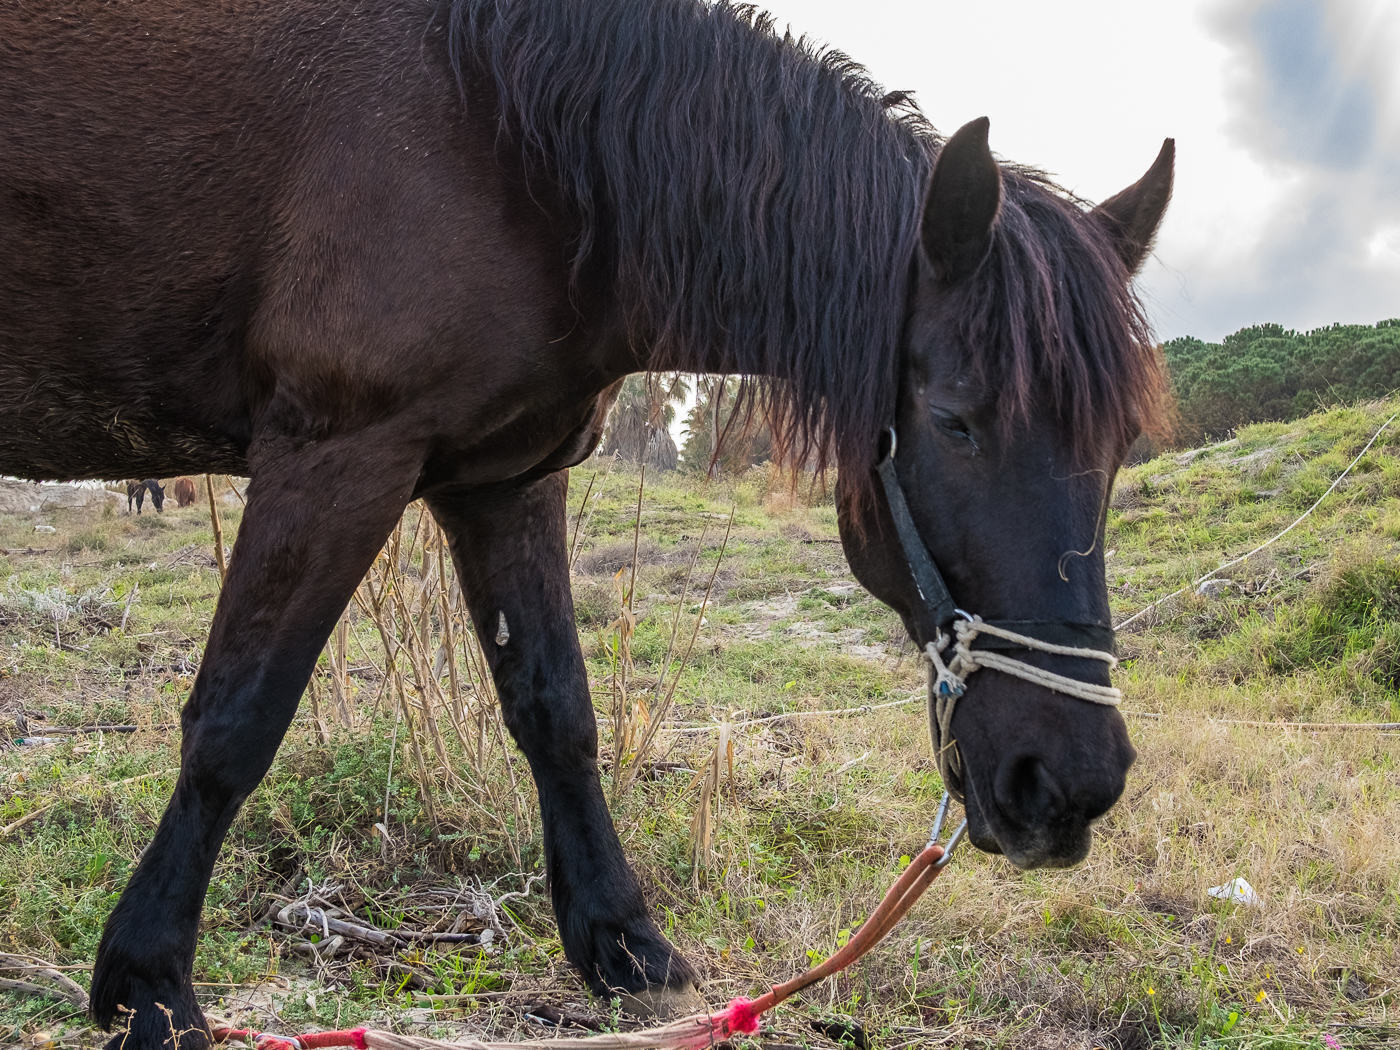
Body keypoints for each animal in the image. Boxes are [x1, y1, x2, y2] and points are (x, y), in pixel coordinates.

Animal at [0, 1, 1173, 1046]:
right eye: (956, 421)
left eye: (1119, 446)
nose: (1071, 787)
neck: (499, 138)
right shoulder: (337, 457)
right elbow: (235, 723)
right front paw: (149, 984)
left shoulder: (506, 479)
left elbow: (555, 712)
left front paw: (622, 942)